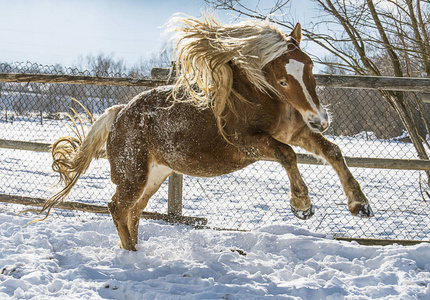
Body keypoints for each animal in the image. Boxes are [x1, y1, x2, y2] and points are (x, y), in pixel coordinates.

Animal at [37, 15, 372, 251]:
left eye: (310, 67)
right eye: (282, 80)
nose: (320, 120)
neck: (255, 96)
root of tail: (119, 113)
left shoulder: (295, 131)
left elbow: (332, 151)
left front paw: (360, 205)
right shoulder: (249, 144)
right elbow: (287, 155)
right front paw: (302, 206)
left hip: (155, 174)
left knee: (134, 210)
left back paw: (135, 249)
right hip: (132, 174)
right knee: (118, 208)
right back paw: (131, 253)